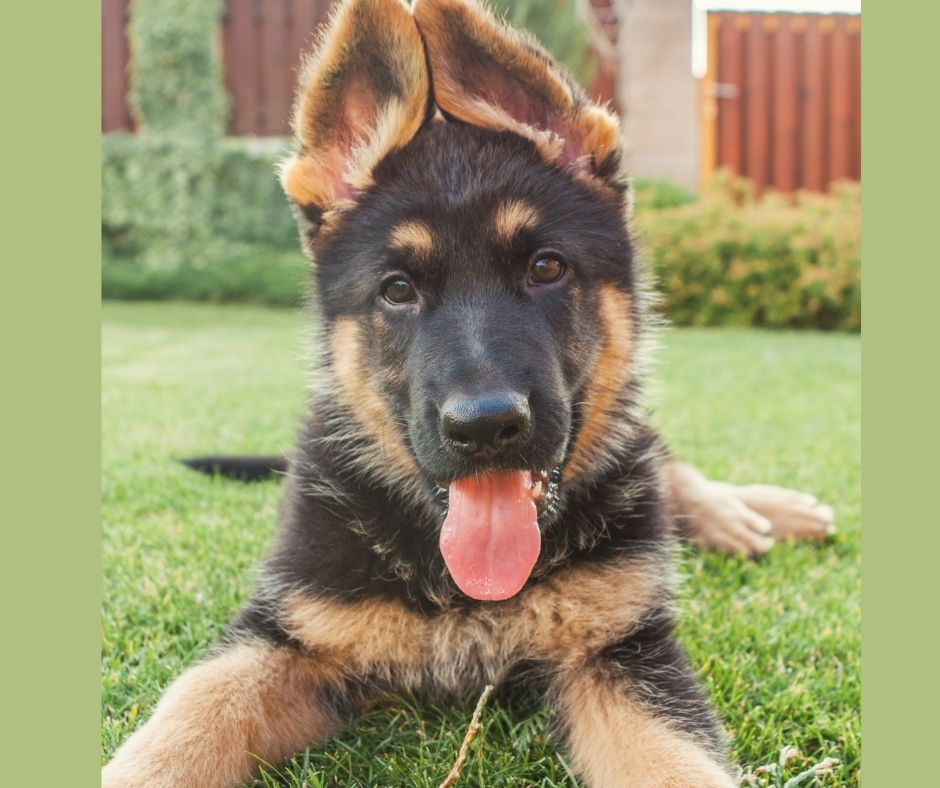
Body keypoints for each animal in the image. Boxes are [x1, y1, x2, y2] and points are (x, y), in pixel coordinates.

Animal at [104, 3, 828, 784]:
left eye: (546, 267)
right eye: (397, 289)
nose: (485, 428)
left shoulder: (622, 647)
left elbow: (672, 758)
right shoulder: (288, 630)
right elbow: (192, 714)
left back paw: (754, 515)